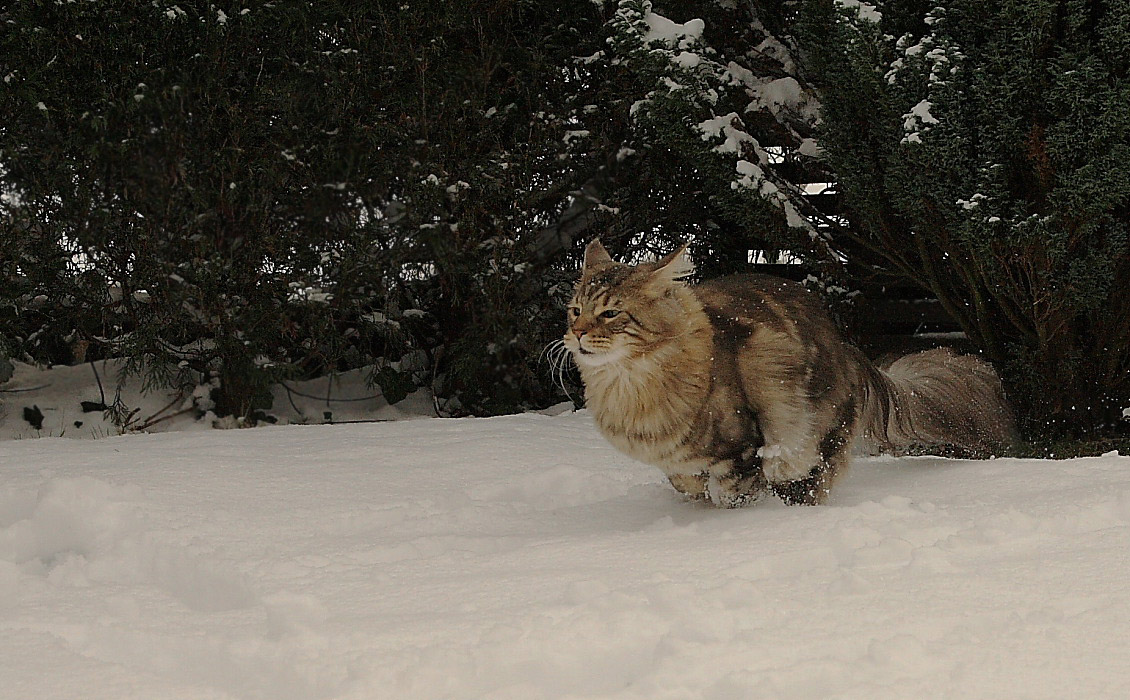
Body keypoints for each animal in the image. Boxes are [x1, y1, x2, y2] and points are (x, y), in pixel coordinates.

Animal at [560, 238, 1021, 506]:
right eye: (576, 310)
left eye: (611, 313)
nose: (577, 334)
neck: (630, 387)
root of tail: (847, 348)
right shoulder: (672, 459)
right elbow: (685, 480)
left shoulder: (743, 444)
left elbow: (731, 487)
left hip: (814, 430)